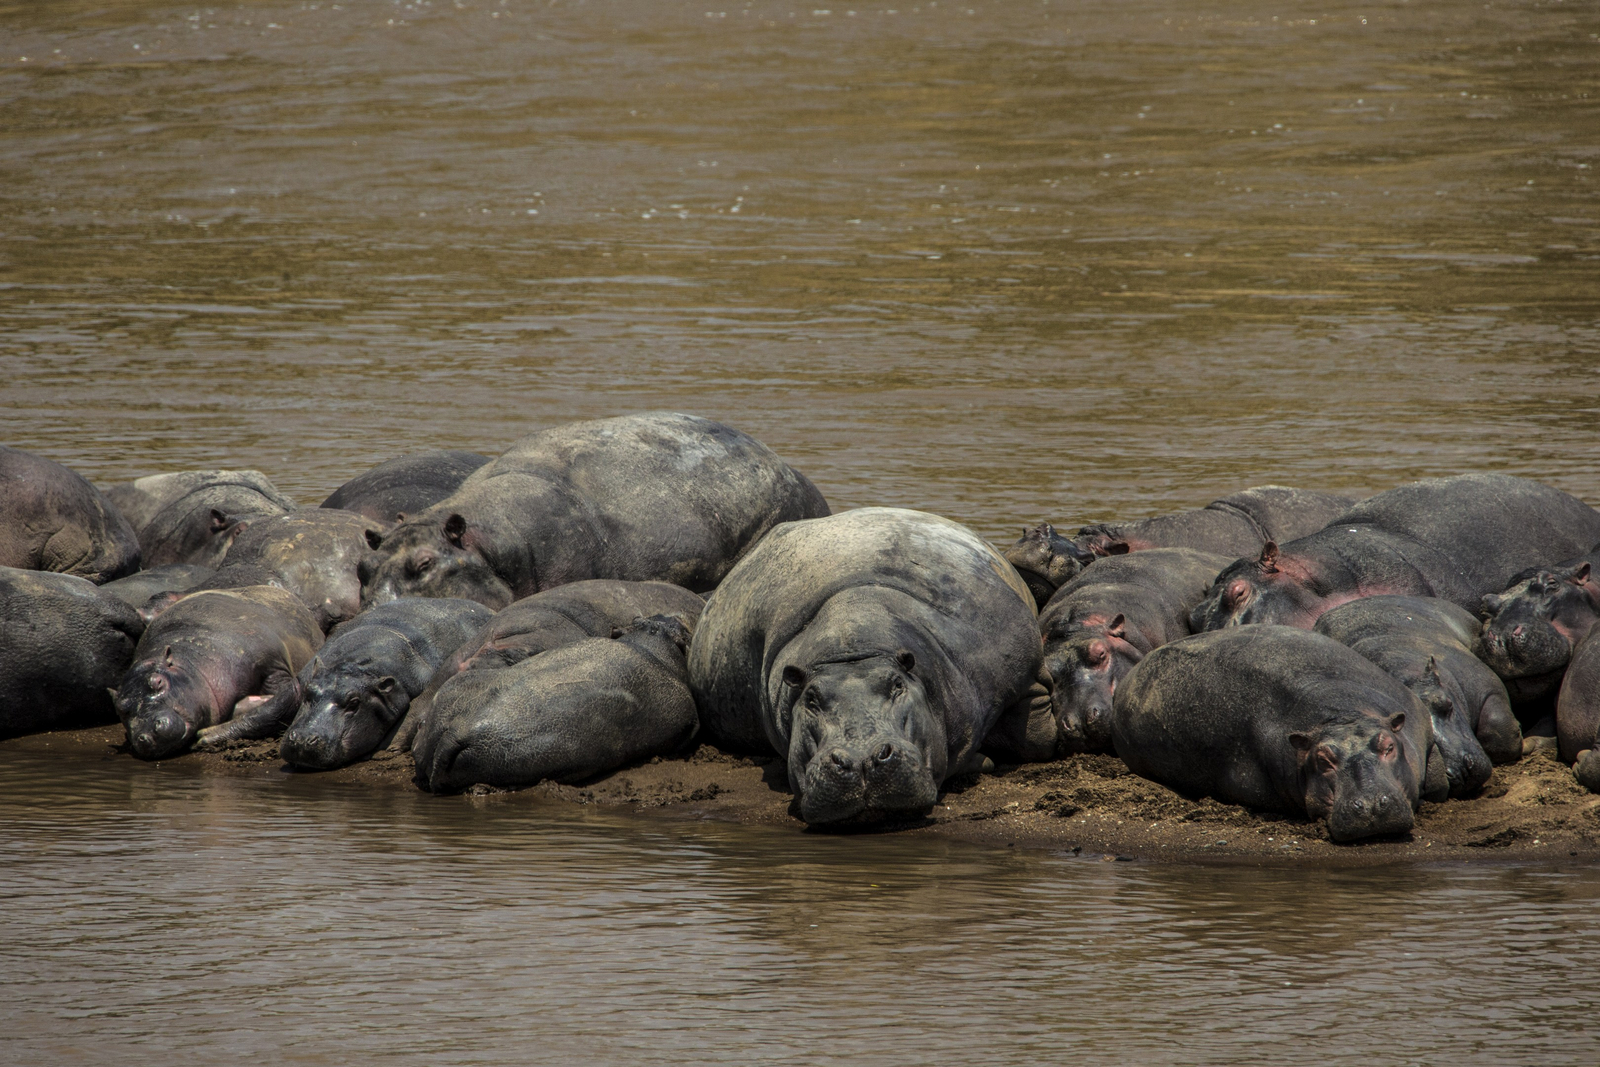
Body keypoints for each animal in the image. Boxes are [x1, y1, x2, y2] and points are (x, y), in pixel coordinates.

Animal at [112, 586, 322, 759]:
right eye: (120, 709)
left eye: (157, 681)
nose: (145, 736)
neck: (189, 662)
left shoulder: (271, 662)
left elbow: (277, 684)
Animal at [687, 508, 1045, 825]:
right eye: (811, 698)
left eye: (897, 685)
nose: (860, 760)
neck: (854, 644)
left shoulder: (1011, 654)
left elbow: (1034, 723)